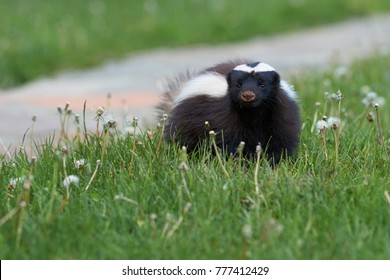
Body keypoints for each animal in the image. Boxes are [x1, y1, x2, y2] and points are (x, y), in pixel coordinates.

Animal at [159, 59, 302, 164]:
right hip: (188, 119)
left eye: (262, 84)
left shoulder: (280, 110)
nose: (248, 95)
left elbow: (280, 137)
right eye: (238, 85)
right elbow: (229, 138)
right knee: (186, 140)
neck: (253, 111)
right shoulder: (223, 113)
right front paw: (241, 161)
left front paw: (272, 161)